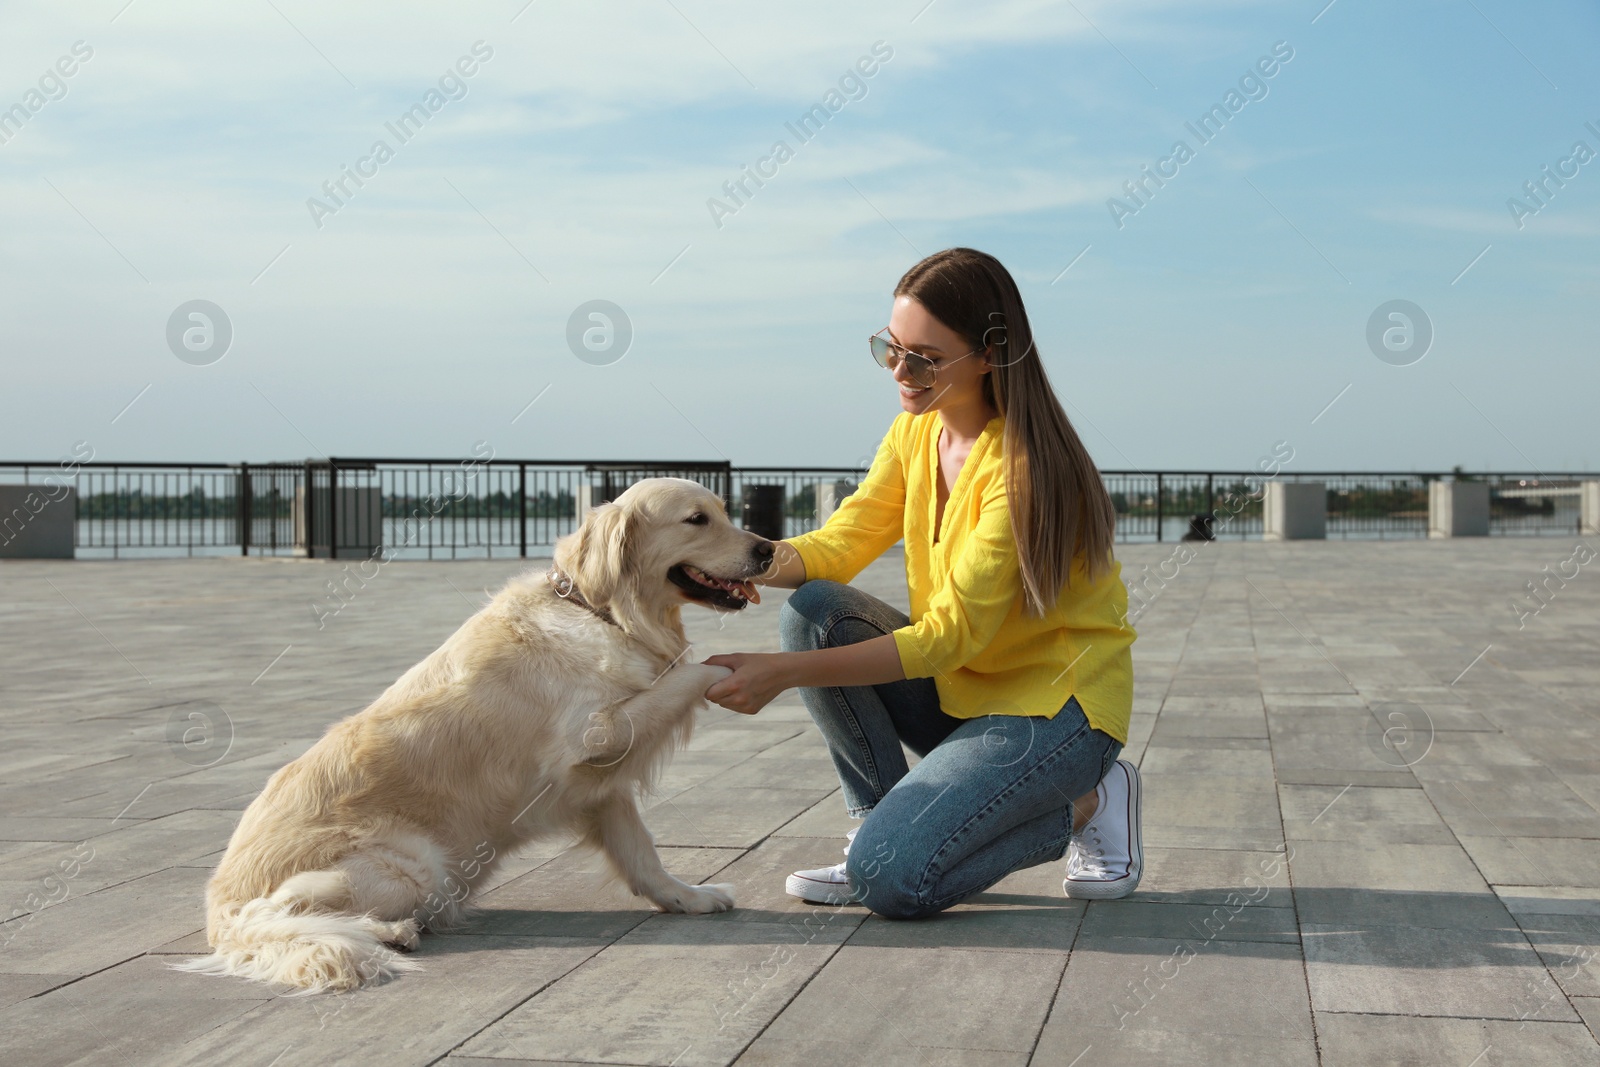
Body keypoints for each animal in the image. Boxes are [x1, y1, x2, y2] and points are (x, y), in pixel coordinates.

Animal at [176, 476, 774, 991]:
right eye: (696, 519)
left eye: (725, 512)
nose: (769, 549)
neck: (599, 611)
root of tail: (217, 907)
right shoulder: (595, 736)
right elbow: (697, 672)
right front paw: (743, 668)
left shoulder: (599, 786)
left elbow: (642, 852)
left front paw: (688, 897)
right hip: (411, 866)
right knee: (273, 915)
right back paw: (387, 932)